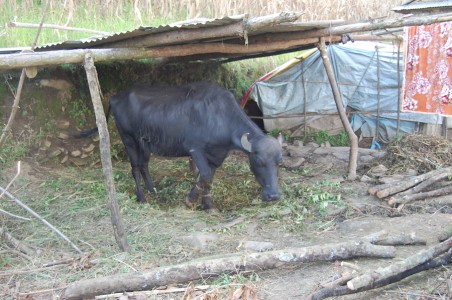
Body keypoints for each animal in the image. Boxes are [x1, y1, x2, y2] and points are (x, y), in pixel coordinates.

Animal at [79, 81, 280, 210]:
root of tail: (115, 97)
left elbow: (208, 178)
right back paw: (141, 197)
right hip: (128, 139)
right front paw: (190, 201)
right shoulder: (195, 149)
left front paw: (207, 204)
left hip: (145, 143)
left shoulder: (217, 155)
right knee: (135, 167)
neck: (219, 116)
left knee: (144, 165)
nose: (274, 196)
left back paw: (153, 190)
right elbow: (204, 175)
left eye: (278, 163)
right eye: (258, 162)